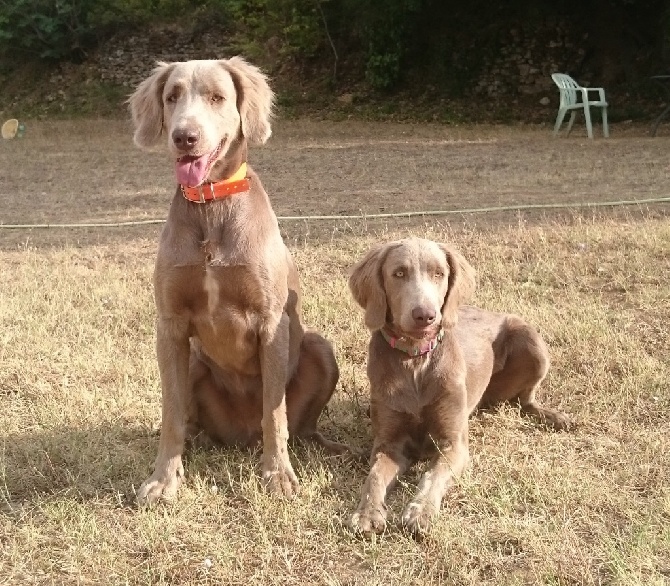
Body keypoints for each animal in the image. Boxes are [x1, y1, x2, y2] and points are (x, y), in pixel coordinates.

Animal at [129, 56, 346, 502]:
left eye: (217, 97)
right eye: (172, 96)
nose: (184, 137)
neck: (211, 206)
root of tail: (242, 438)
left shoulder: (271, 322)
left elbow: (275, 413)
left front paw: (278, 475)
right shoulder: (169, 325)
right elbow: (171, 412)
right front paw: (163, 479)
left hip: (320, 347)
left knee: (296, 425)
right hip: (195, 363)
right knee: (190, 420)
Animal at [346, 236, 572, 532]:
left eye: (439, 274)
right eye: (399, 273)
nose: (425, 315)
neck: (416, 360)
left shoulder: (454, 443)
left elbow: (433, 476)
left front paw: (421, 512)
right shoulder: (388, 443)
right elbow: (373, 477)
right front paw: (367, 513)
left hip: (531, 340)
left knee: (527, 399)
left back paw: (554, 417)